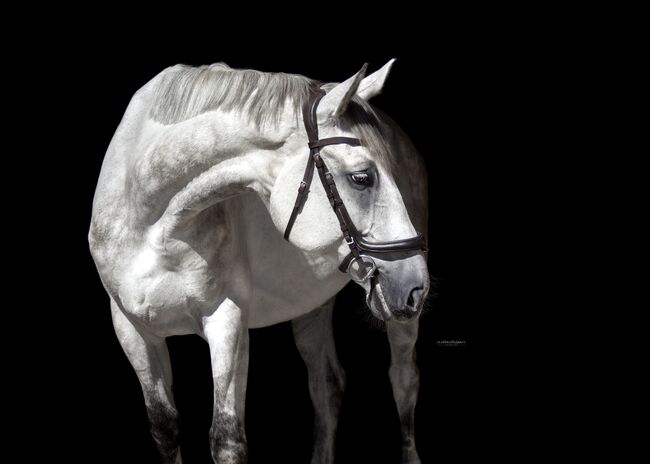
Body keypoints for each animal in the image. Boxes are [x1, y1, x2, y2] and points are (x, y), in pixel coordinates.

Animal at [87, 60, 430, 464]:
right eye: (362, 177)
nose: (416, 285)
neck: (151, 219)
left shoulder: (226, 321)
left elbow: (227, 438)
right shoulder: (133, 329)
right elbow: (165, 427)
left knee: (403, 380)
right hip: (311, 305)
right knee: (327, 386)